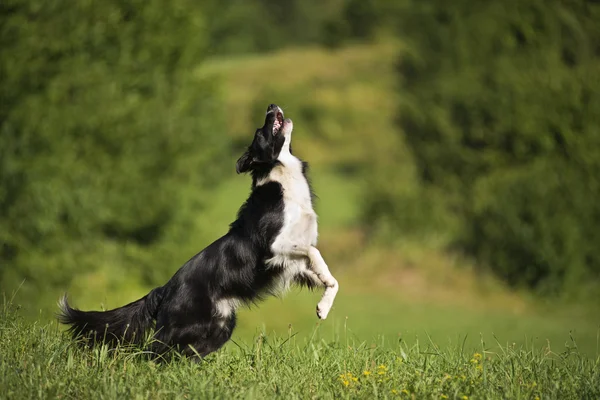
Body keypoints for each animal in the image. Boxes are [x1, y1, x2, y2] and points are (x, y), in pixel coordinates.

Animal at [58, 104, 340, 358]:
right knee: (151, 352)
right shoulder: (274, 247)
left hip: (218, 326)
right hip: (186, 325)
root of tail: (164, 289)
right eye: (260, 131)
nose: (271, 105)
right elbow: (315, 252)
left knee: (180, 354)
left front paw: (323, 307)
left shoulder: (292, 264)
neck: (281, 178)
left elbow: (331, 278)